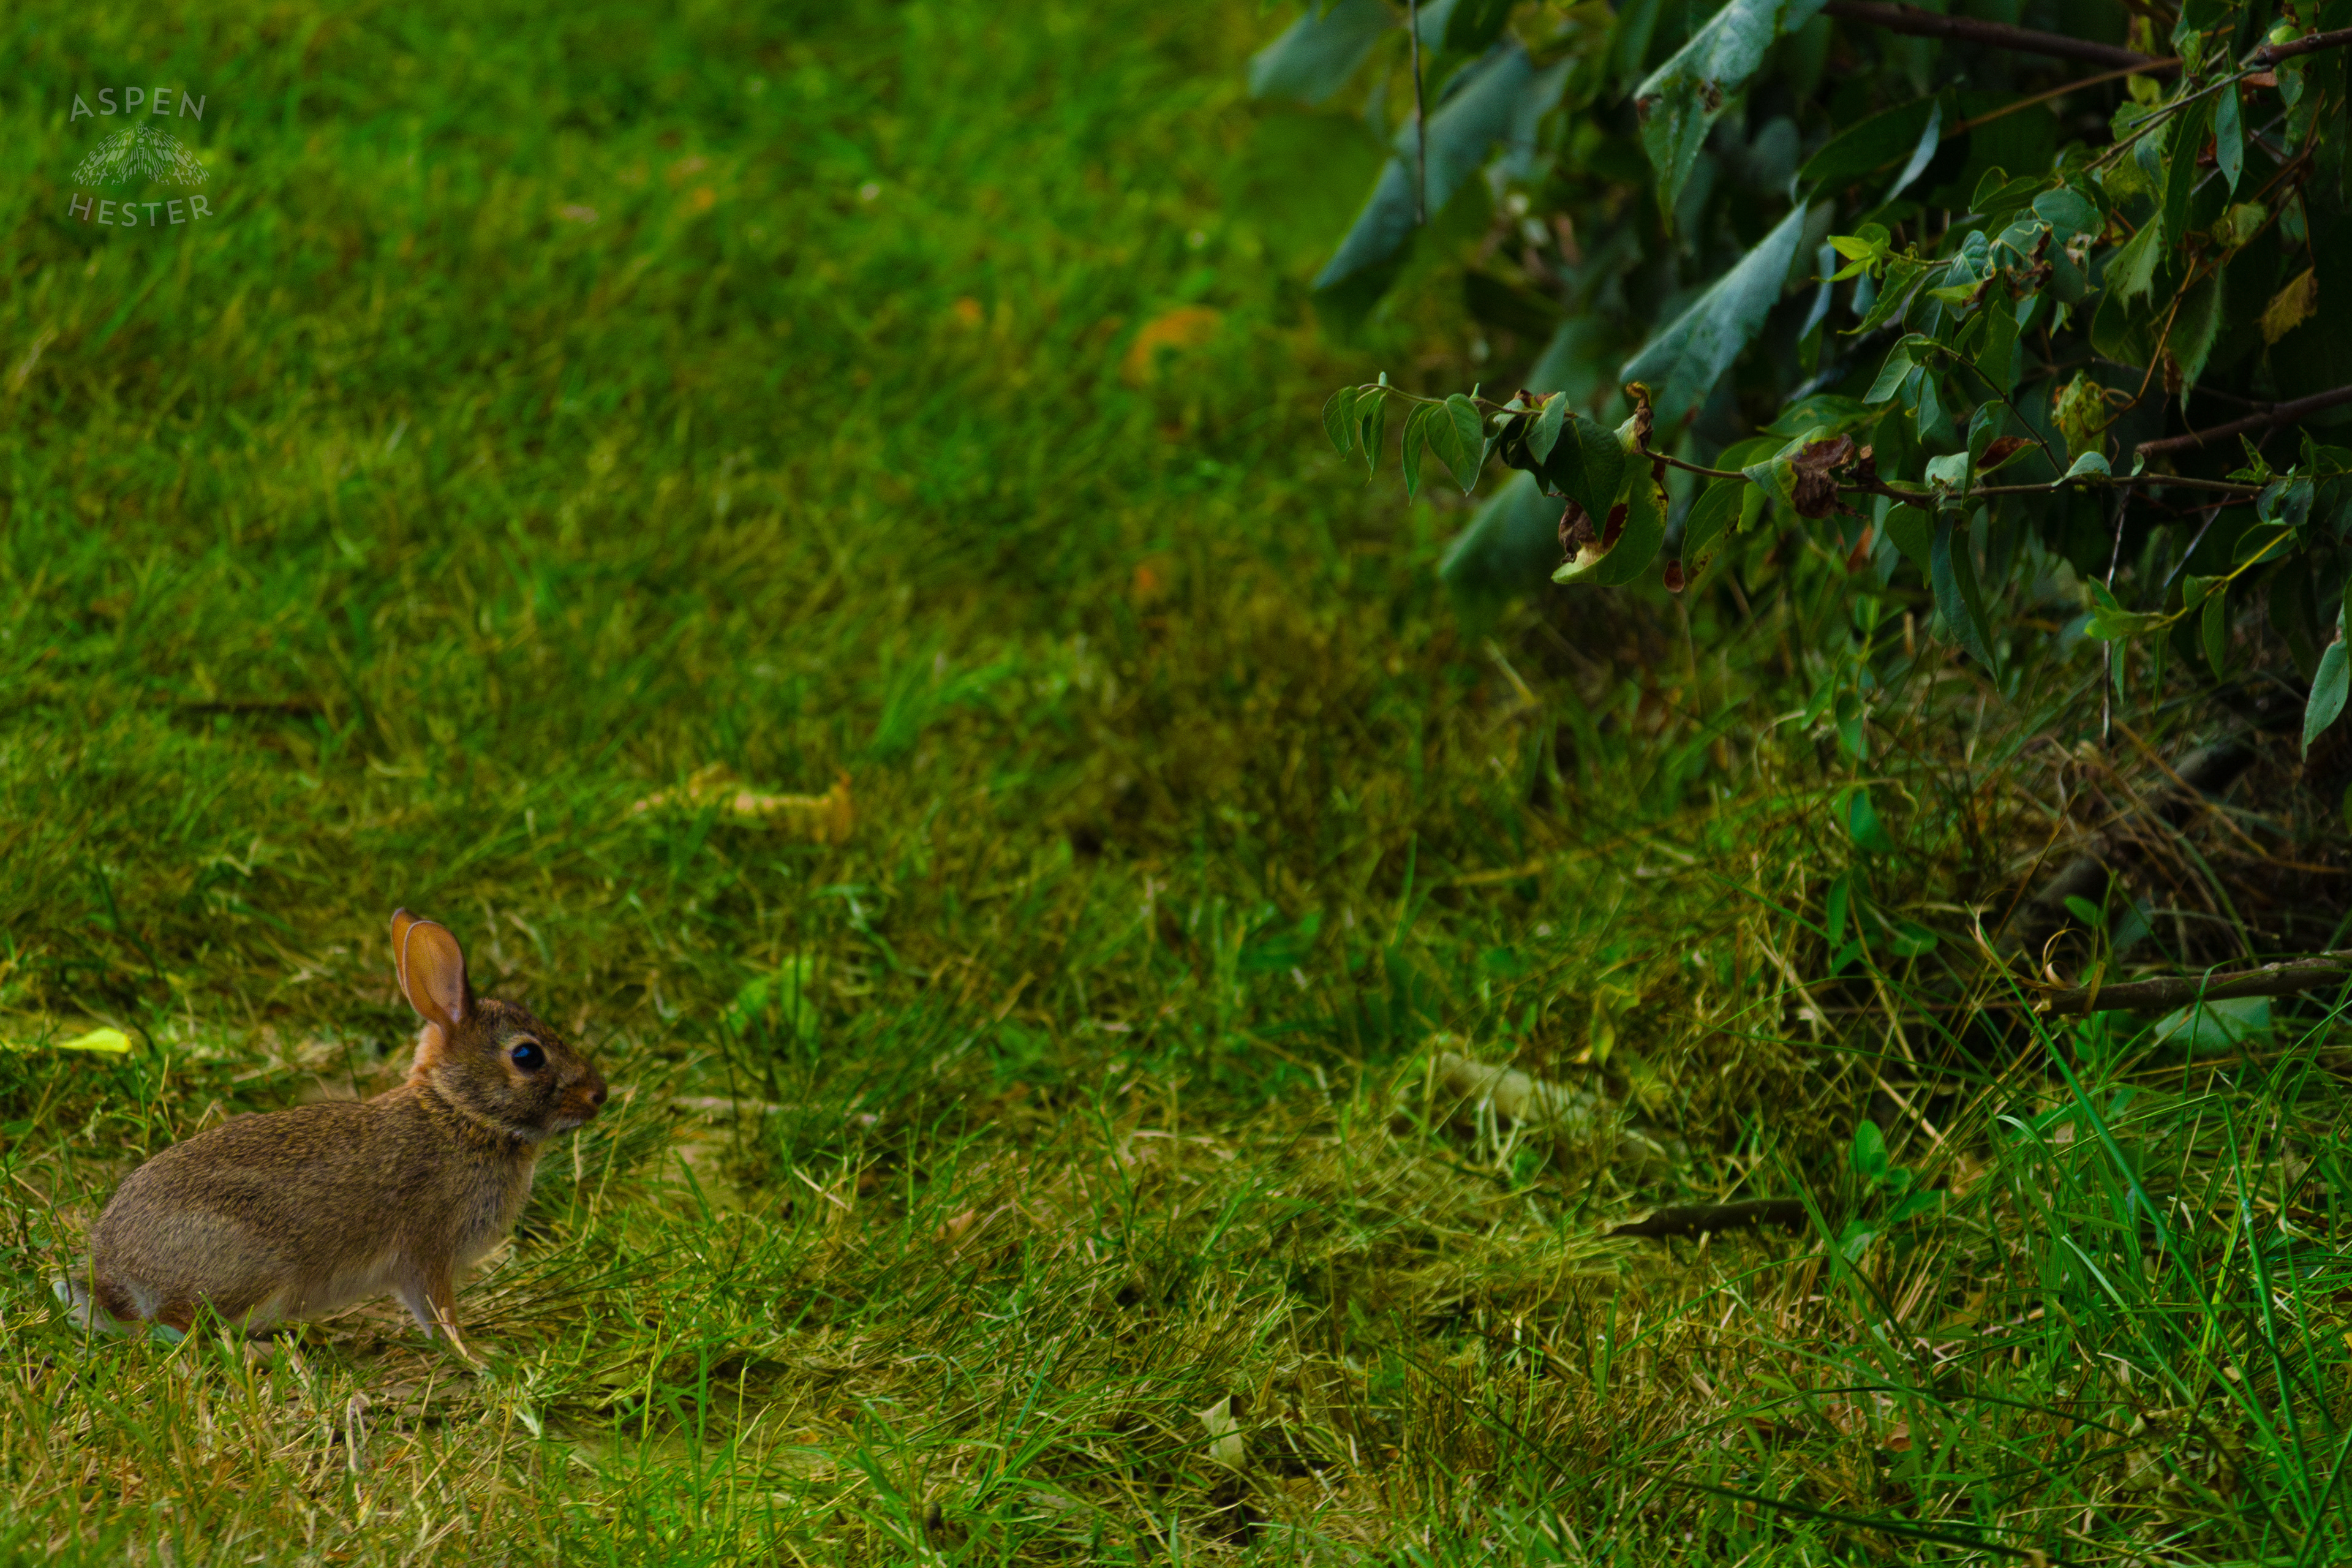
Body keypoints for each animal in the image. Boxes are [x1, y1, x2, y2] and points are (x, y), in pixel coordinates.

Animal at [53, 909, 607, 1364]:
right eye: (528, 1056)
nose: (599, 1094)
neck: (460, 1114)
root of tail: (116, 1277)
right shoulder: (428, 1249)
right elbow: (438, 1310)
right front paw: (476, 1357)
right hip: (254, 1267)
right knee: (178, 1325)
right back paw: (261, 1354)